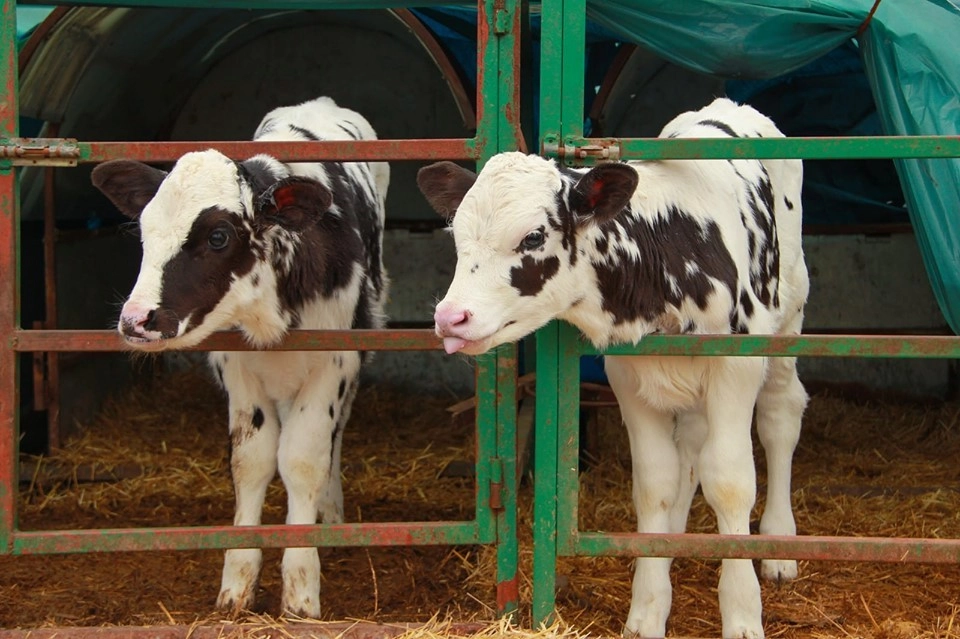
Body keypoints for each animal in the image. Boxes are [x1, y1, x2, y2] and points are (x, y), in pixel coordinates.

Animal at [92, 96, 388, 620]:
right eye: (145, 229)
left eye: (218, 237)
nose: (136, 319)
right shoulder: (238, 368)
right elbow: (251, 460)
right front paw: (237, 581)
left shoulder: (333, 361)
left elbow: (303, 458)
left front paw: (301, 586)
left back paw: (329, 511)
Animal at [420, 96, 808, 639]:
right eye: (458, 235)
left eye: (533, 236)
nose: (450, 317)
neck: (668, 254)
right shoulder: (628, 371)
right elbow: (656, 481)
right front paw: (647, 606)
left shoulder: (736, 364)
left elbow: (730, 482)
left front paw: (742, 614)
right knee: (691, 442)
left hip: (788, 314)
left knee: (779, 416)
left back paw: (777, 543)